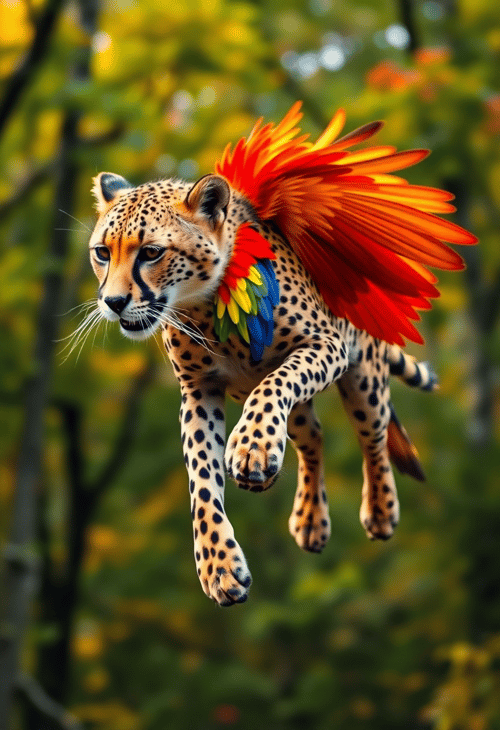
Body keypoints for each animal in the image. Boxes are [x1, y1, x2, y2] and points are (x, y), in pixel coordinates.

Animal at [88, 171, 437, 606]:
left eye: (151, 252)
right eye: (102, 253)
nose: (113, 302)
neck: (202, 305)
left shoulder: (325, 344)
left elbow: (274, 383)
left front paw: (251, 444)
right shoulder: (198, 392)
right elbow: (201, 480)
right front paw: (218, 566)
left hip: (363, 378)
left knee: (372, 436)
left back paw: (380, 509)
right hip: (306, 410)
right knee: (313, 435)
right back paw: (306, 514)